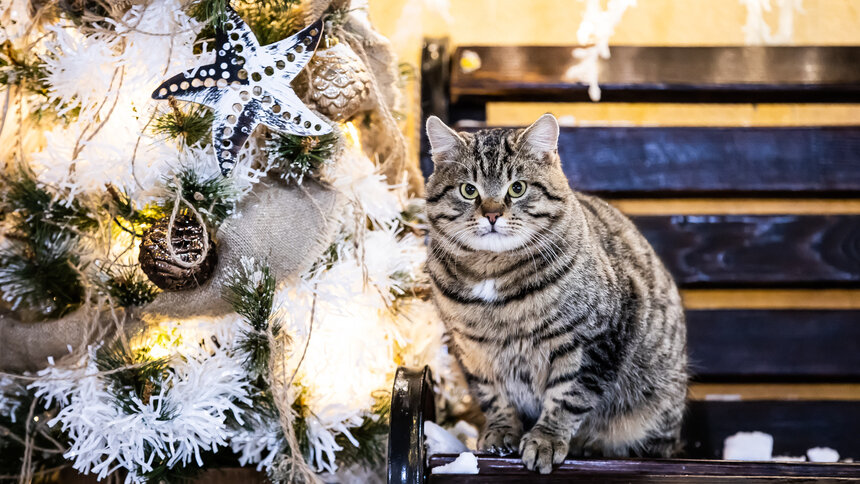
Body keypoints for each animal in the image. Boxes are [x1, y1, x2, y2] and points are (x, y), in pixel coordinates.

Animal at [426, 112, 688, 472]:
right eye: (468, 190)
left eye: (517, 188)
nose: (492, 213)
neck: (490, 273)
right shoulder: (472, 350)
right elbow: (494, 395)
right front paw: (501, 432)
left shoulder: (593, 340)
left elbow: (568, 395)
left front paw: (545, 440)